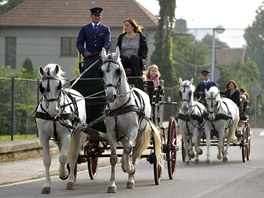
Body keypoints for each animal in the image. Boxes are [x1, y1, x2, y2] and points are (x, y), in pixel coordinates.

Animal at [35, 63, 86, 193]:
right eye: (42, 87)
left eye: (59, 86)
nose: (54, 111)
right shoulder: (43, 136)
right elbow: (47, 160)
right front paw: (47, 185)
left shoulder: (66, 135)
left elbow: (63, 157)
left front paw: (63, 174)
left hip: (77, 133)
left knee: (73, 156)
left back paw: (71, 180)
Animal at [99, 47, 163, 193]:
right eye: (102, 71)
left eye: (118, 71)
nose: (110, 95)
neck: (119, 105)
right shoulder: (111, 132)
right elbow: (113, 157)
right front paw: (112, 185)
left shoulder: (133, 129)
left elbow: (129, 150)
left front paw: (129, 168)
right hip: (122, 134)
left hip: (140, 133)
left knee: (134, 152)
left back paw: (130, 179)